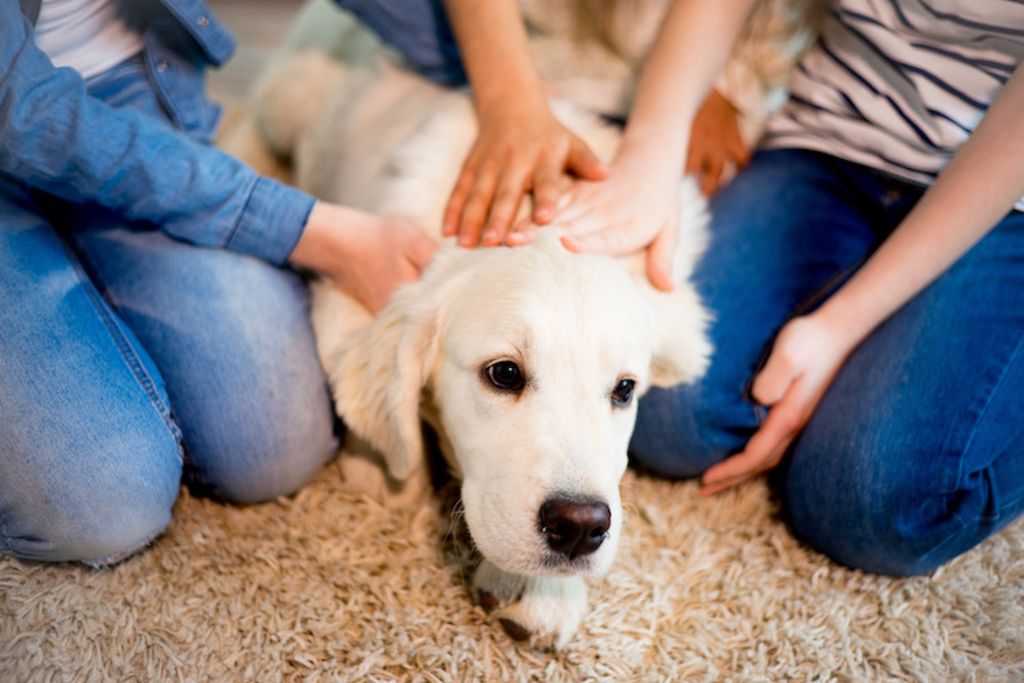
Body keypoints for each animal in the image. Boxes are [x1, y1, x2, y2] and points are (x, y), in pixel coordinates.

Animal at [248, 46, 712, 647]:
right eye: (504, 374)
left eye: (625, 389)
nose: (579, 527)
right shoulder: (350, 288)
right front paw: (387, 471)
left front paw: (547, 592)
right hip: (291, 90)